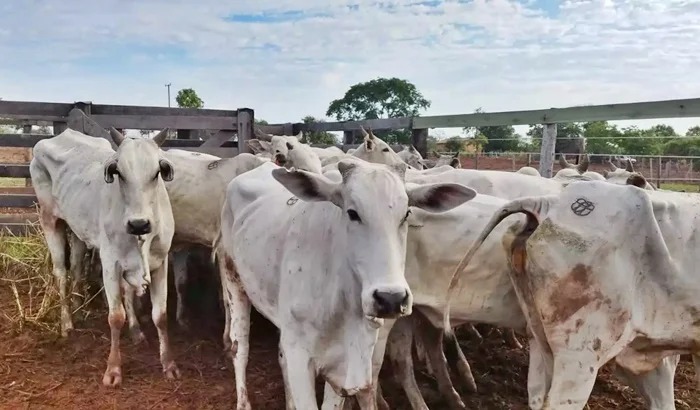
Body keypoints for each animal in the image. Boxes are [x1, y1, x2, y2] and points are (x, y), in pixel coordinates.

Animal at [30, 129, 179, 388]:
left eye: (156, 172)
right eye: (119, 172)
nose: (139, 224)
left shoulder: (160, 263)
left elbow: (160, 315)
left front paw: (167, 363)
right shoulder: (110, 263)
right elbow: (115, 317)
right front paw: (113, 369)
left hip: (78, 232)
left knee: (77, 267)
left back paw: (80, 310)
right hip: (50, 220)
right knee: (61, 273)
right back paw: (67, 323)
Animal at [213, 159, 476, 408]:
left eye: (406, 215)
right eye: (352, 213)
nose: (390, 298)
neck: (342, 306)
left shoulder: (345, 365)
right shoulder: (300, 357)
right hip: (233, 279)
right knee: (239, 346)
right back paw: (243, 401)